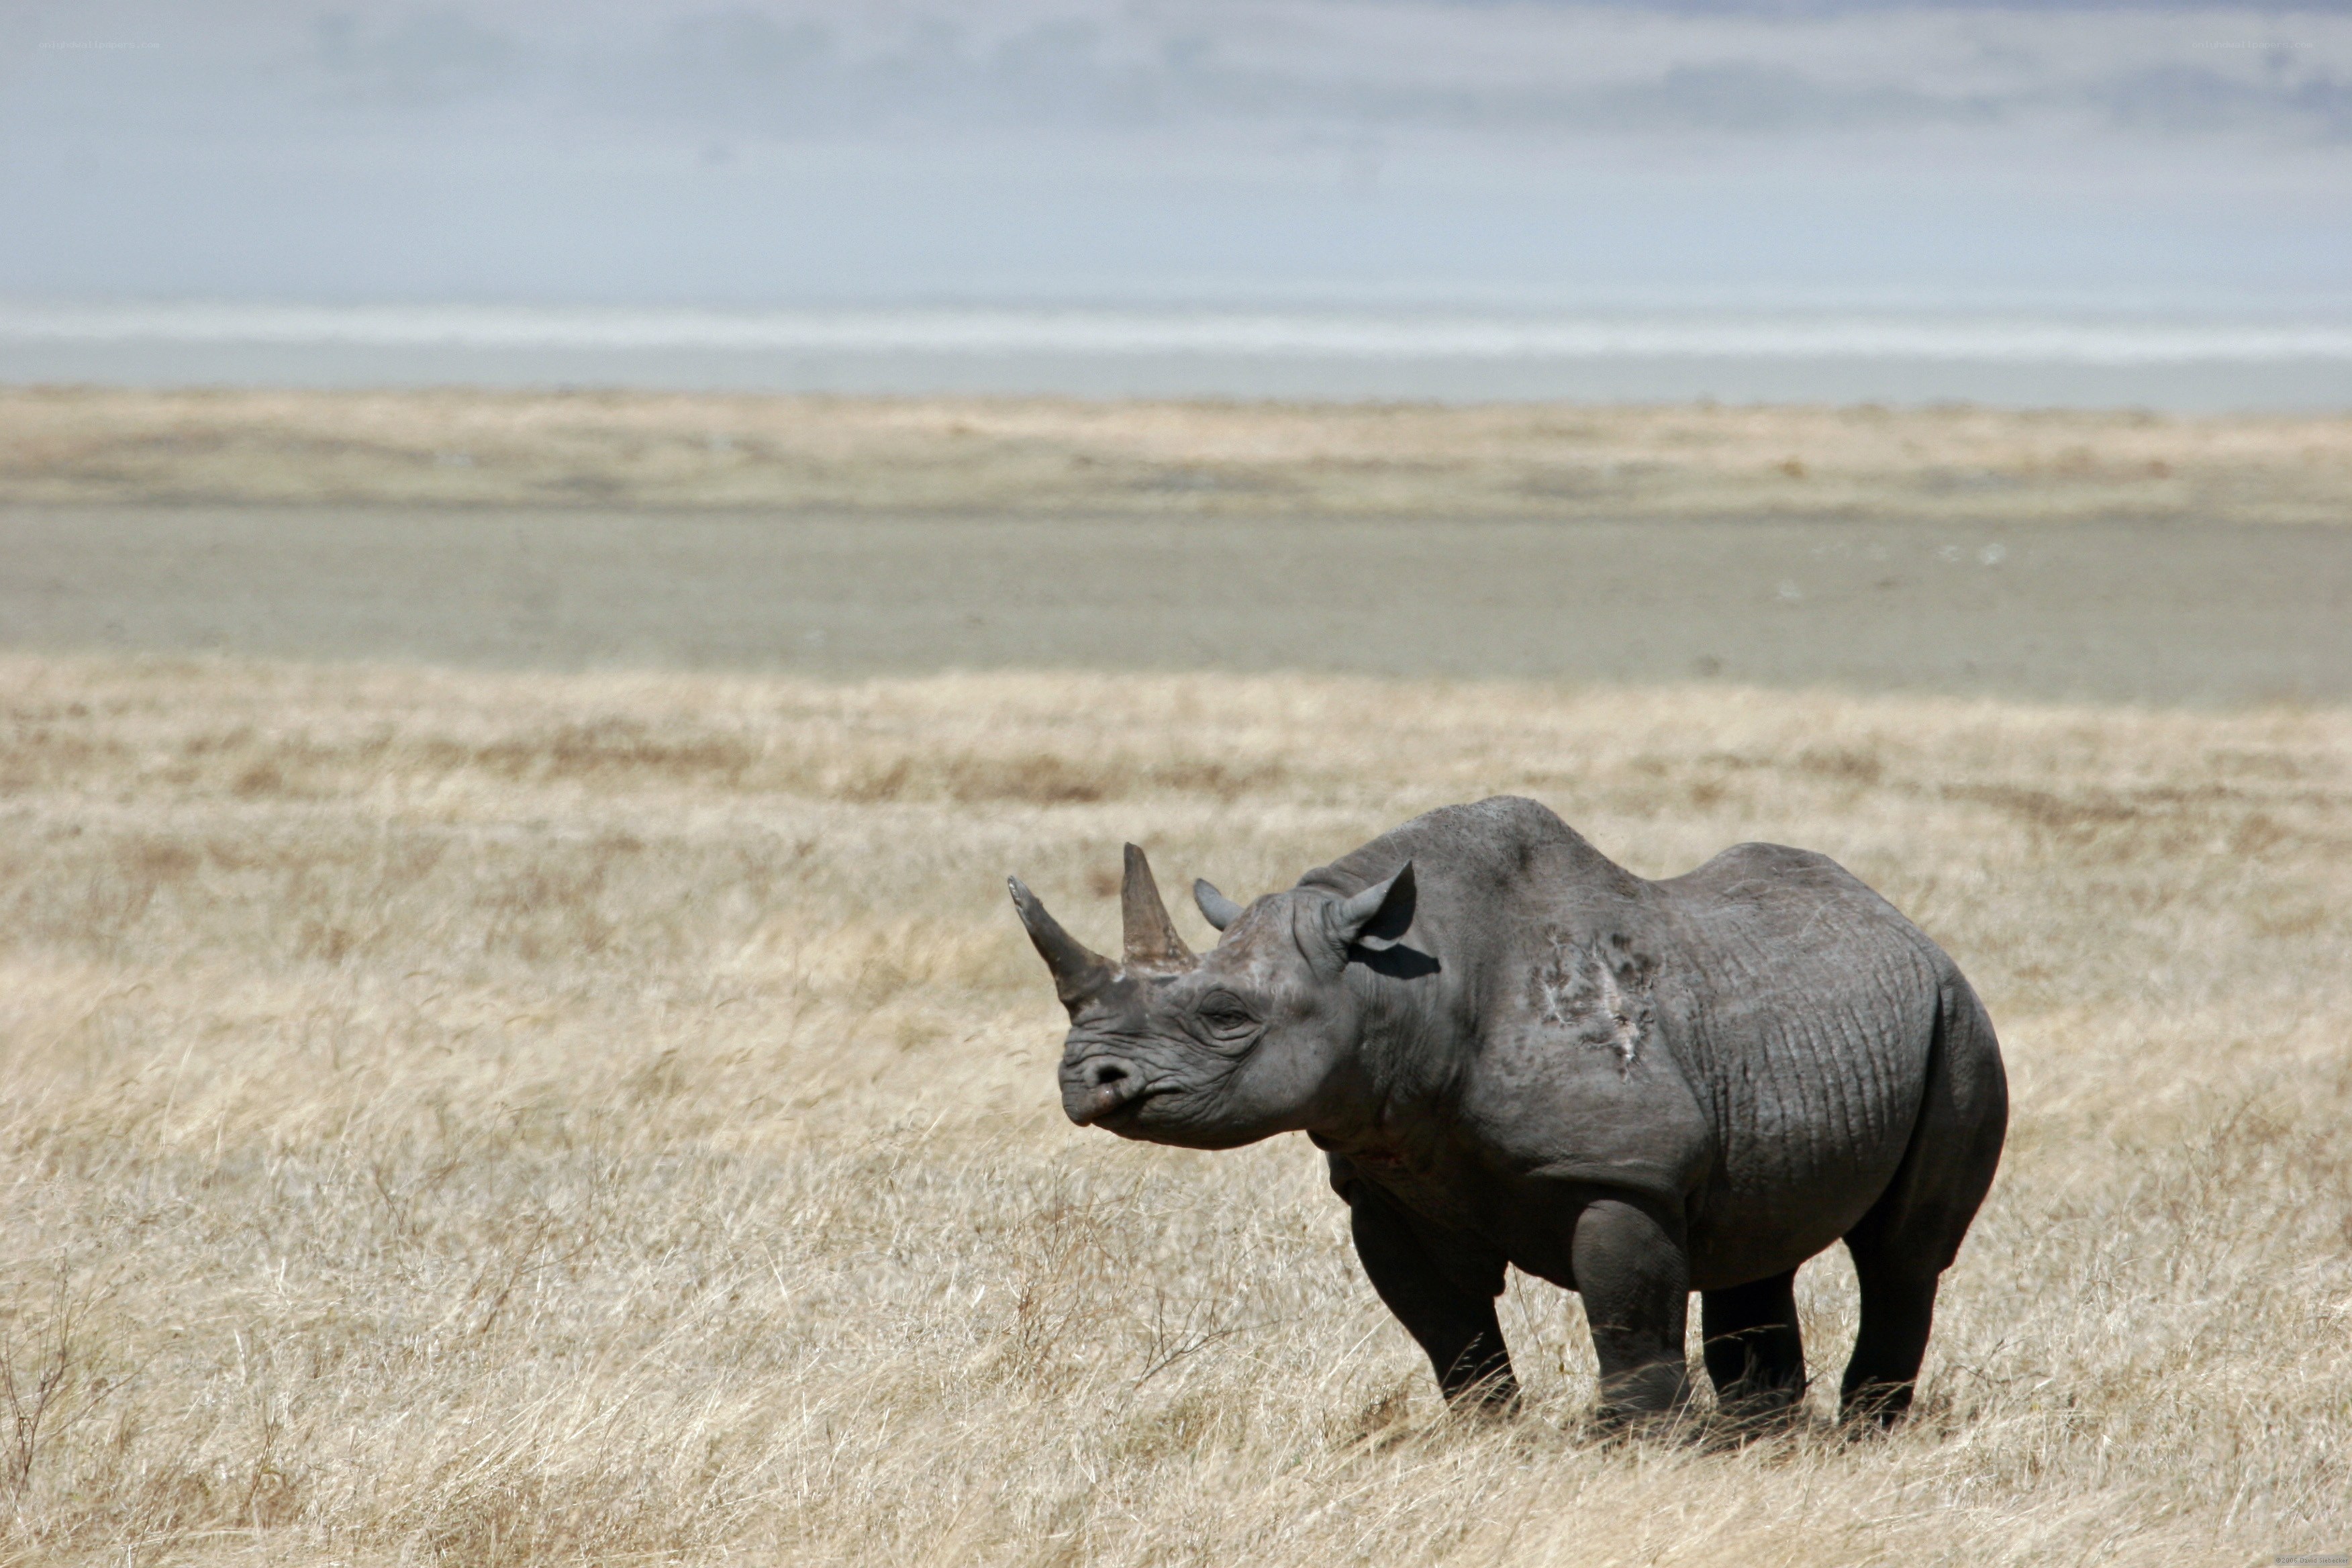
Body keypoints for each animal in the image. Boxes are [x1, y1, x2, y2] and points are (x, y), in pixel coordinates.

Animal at [1008, 797, 2006, 1427]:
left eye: (1225, 1017)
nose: (1087, 1080)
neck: (1398, 981)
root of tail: (1910, 928)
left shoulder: (1621, 1170)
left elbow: (1627, 1318)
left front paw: (1632, 1449)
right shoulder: (1387, 1177)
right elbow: (1448, 1332)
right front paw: (1487, 1438)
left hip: (1958, 1024)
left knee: (1903, 1253)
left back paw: (1865, 1433)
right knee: (1757, 1239)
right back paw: (1760, 1440)